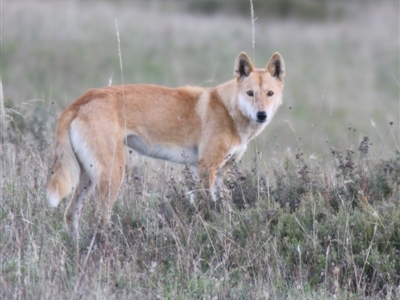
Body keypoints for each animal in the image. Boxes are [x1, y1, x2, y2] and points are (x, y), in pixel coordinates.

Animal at [47, 52, 284, 239]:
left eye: (270, 93)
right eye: (250, 93)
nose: (261, 115)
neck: (228, 110)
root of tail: (80, 101)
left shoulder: (219, 170)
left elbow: (222, 206)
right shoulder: (207, 167)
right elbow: (205, 206)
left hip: (88, 177)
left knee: (70, 215)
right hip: (113, 175)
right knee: (99, 219)